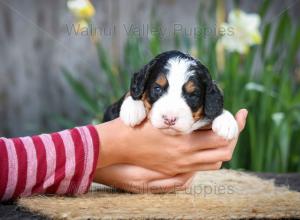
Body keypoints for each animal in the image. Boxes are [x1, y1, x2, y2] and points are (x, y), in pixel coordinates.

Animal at [103, 50, 239, 139]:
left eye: (192, 95)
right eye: (157, 89)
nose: (170, 119)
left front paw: (226, 121)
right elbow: (130, 93)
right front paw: (132, 108)